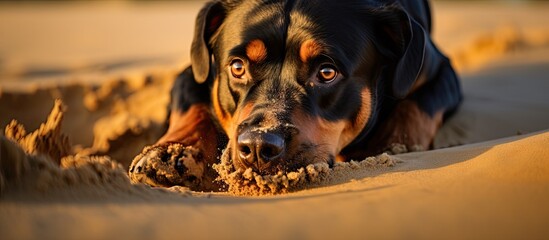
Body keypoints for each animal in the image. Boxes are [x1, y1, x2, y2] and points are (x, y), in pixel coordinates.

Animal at [130, 0, 462, 190]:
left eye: (327, 72)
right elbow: (192, 99)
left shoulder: (440, 69)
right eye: (237, 67)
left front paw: (392, 146)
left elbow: (417, 108)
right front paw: (171, 153)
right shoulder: (196, 69)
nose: (258, 146)